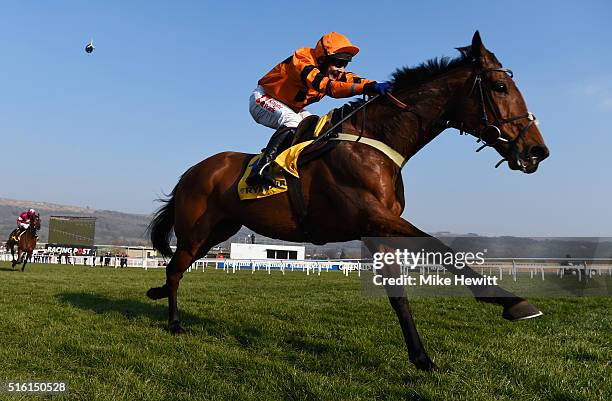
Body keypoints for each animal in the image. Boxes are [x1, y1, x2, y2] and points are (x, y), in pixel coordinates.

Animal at [147, 32, 548, 370]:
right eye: (500, 86)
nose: (537, 151)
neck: (375, 141)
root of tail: (193, 170)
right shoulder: (373, 216)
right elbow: (442, 248)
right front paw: (513, 302)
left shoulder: (377, 230)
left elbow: (399, 295)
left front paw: (421, 357)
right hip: (198, 230)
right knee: (176, 268)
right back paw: (175, 322)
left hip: (218, 231)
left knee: (178, 267)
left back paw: (158, 294)